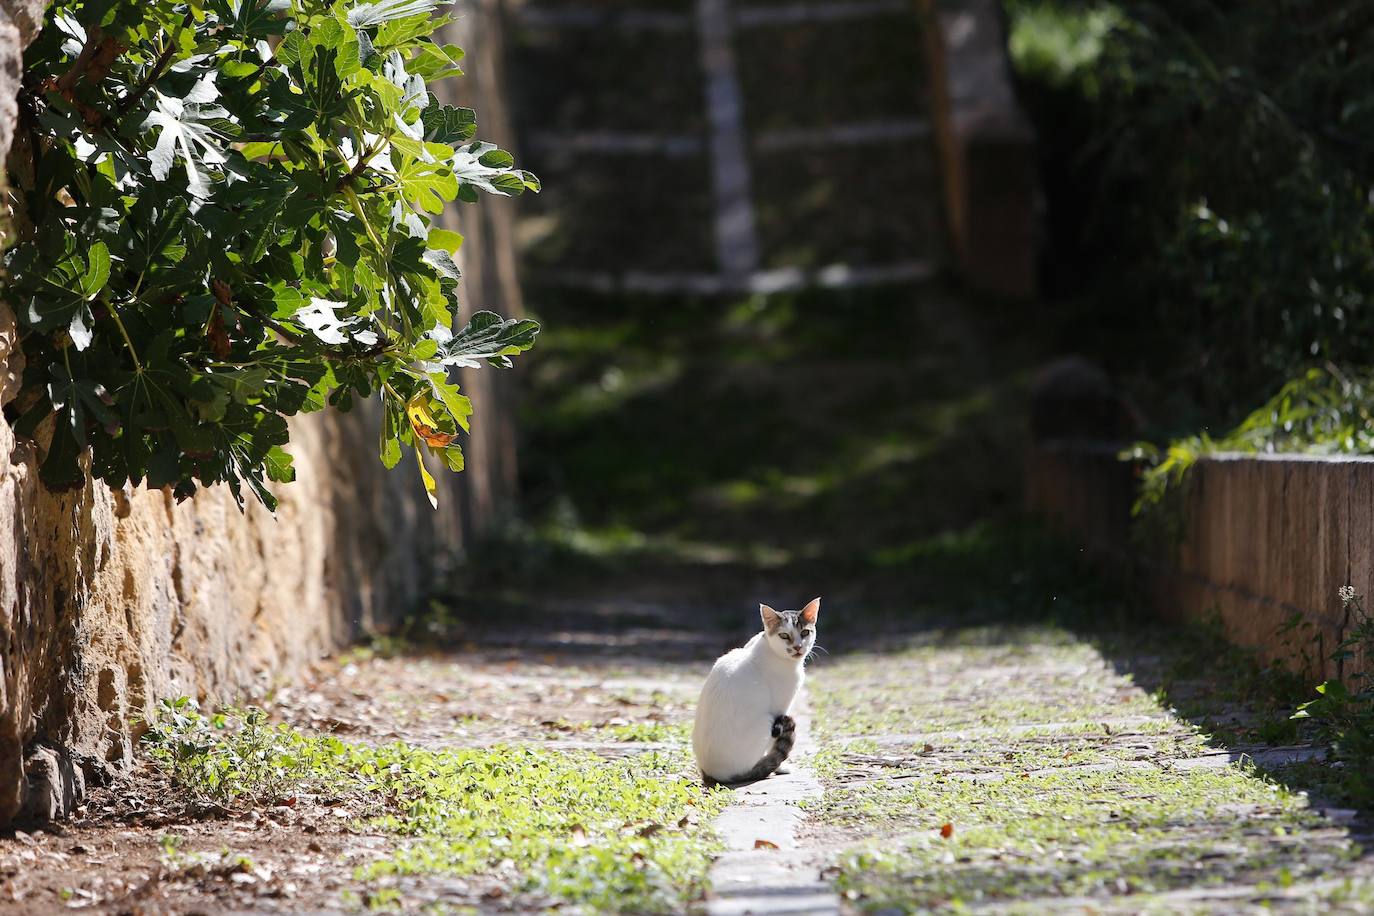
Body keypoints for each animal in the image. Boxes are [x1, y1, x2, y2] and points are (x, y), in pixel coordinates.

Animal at [692, 598, 818, 785]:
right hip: (767, 721)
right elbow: (775, 744)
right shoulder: (780, 710)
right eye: (784, 636)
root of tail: (711, 773)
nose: (797, 647)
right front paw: (779, 766)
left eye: (804, 632)